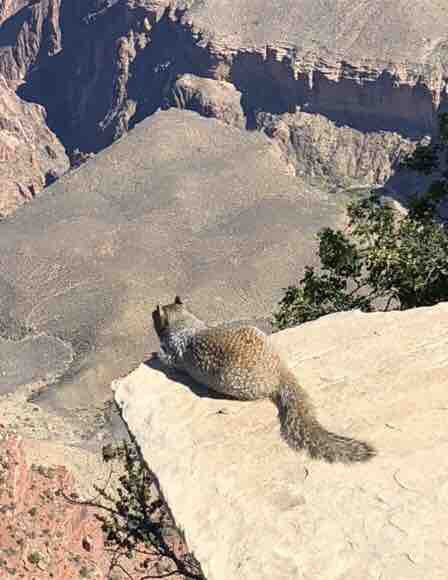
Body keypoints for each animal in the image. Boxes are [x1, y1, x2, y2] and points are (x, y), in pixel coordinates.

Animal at [152, 296, 376, 464]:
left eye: (154, 314)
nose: (151, 313)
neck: (185, 323)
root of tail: (279, 372)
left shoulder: (174, 354)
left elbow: (167, 360)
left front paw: (156, 354)